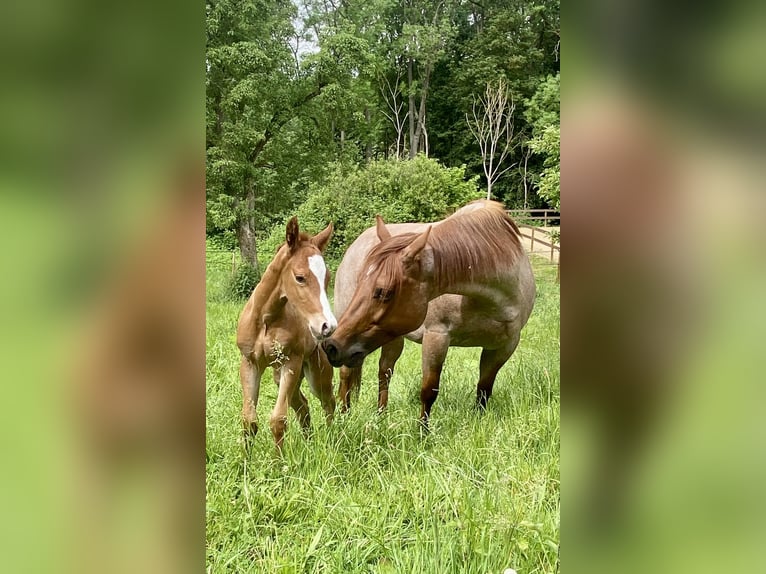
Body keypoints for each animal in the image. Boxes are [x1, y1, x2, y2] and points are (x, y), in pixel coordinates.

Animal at [236, 217, 337, 450]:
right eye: (300, 277)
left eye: (327, 277)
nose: (327, 326)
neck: (266, 319)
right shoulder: (249, 363)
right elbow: (249, 421)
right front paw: (245, 460)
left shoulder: (291, 361)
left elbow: (278, 420)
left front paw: (278, 461)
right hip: (282, 375)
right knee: (303, 406)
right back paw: (309, 443)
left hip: (315, 372)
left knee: (328, 402)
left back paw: (331, 442)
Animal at [322, 200, 535, 428]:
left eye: (384, 291)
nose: (331, 347)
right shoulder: (437, 337)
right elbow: (428, 391)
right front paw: (422, 433)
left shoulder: (503, 346)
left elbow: (484, 390)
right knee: (347, 375)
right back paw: (344, 417)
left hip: (389, 338)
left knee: (384, 372)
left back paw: (381, 416)